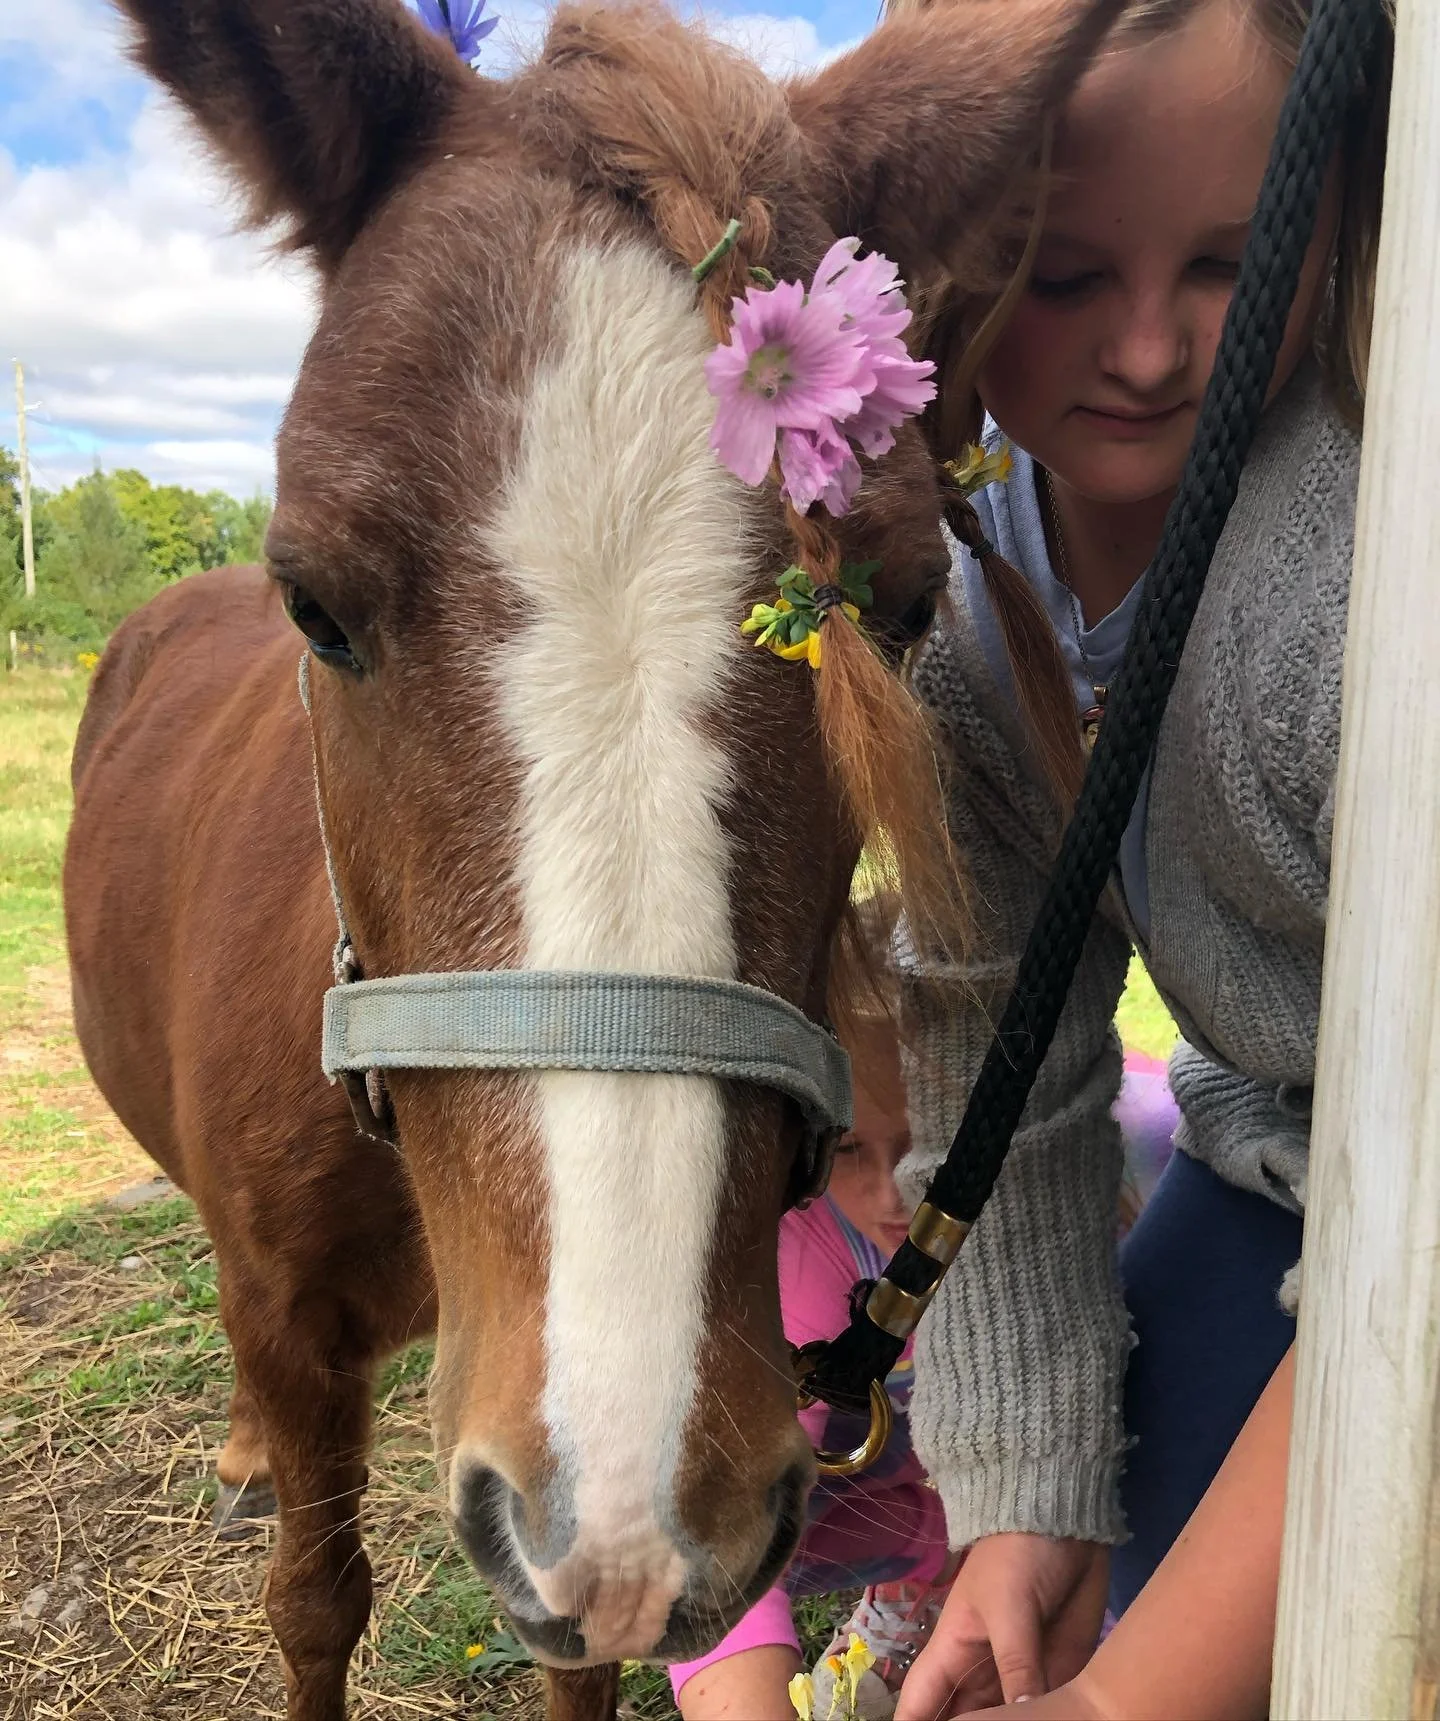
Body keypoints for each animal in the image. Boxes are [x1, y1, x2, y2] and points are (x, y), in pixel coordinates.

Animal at [66, 0, 1118, 1714]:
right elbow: (316, 1598)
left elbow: (578, 1675)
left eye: (902, 607)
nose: (625, 1518)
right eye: (313, 604)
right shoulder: (292, 1327)